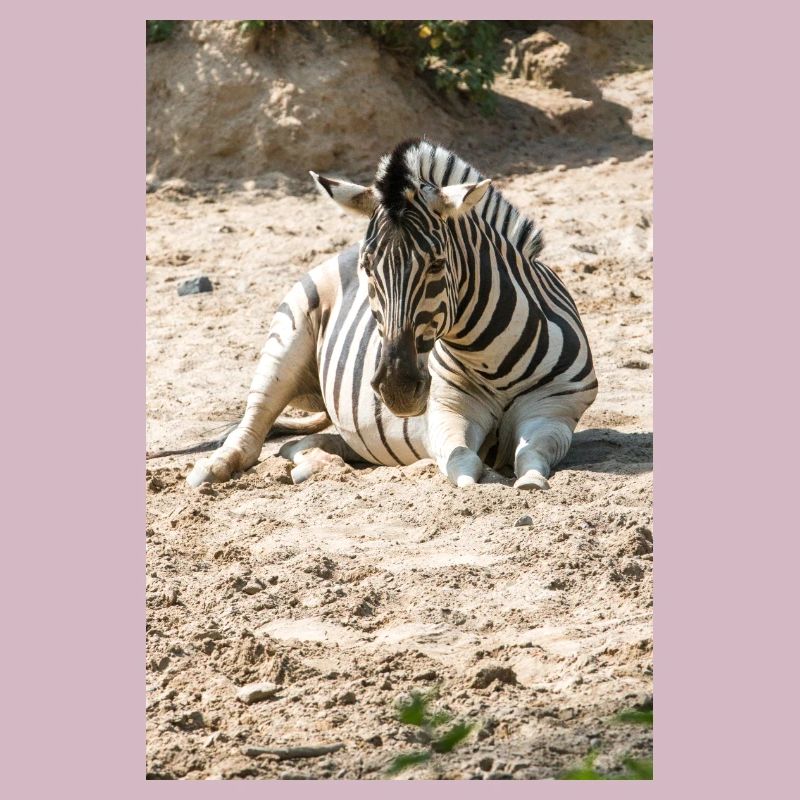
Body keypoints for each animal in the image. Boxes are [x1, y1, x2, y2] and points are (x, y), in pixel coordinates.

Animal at [185, 139, 597, 490]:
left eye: (437, 264)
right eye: (368, 267)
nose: (396, 388)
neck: (488, 357)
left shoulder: (556, 410)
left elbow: (531, 454)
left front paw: (530, 481)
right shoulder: (447, 411)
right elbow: (464, 463)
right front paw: (481, 479)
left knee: (305, 444)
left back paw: (314, 465)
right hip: (286, 339)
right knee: (254, 424)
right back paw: (211, 469)